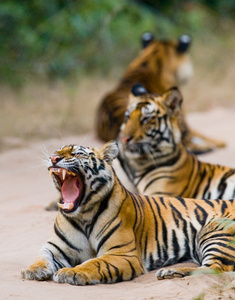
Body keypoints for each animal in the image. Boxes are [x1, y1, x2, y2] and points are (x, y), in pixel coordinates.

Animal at [21, 141, 235, 284]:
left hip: (214, 230)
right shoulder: (56, 248)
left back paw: (169, 273)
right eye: (57, 151)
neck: (83, 215)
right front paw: (31, 270)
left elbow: (94, 263)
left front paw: (70, 273)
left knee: (216, 268)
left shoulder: (122, 254)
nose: (53, 158)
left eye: (77, 153)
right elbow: (42, 257)